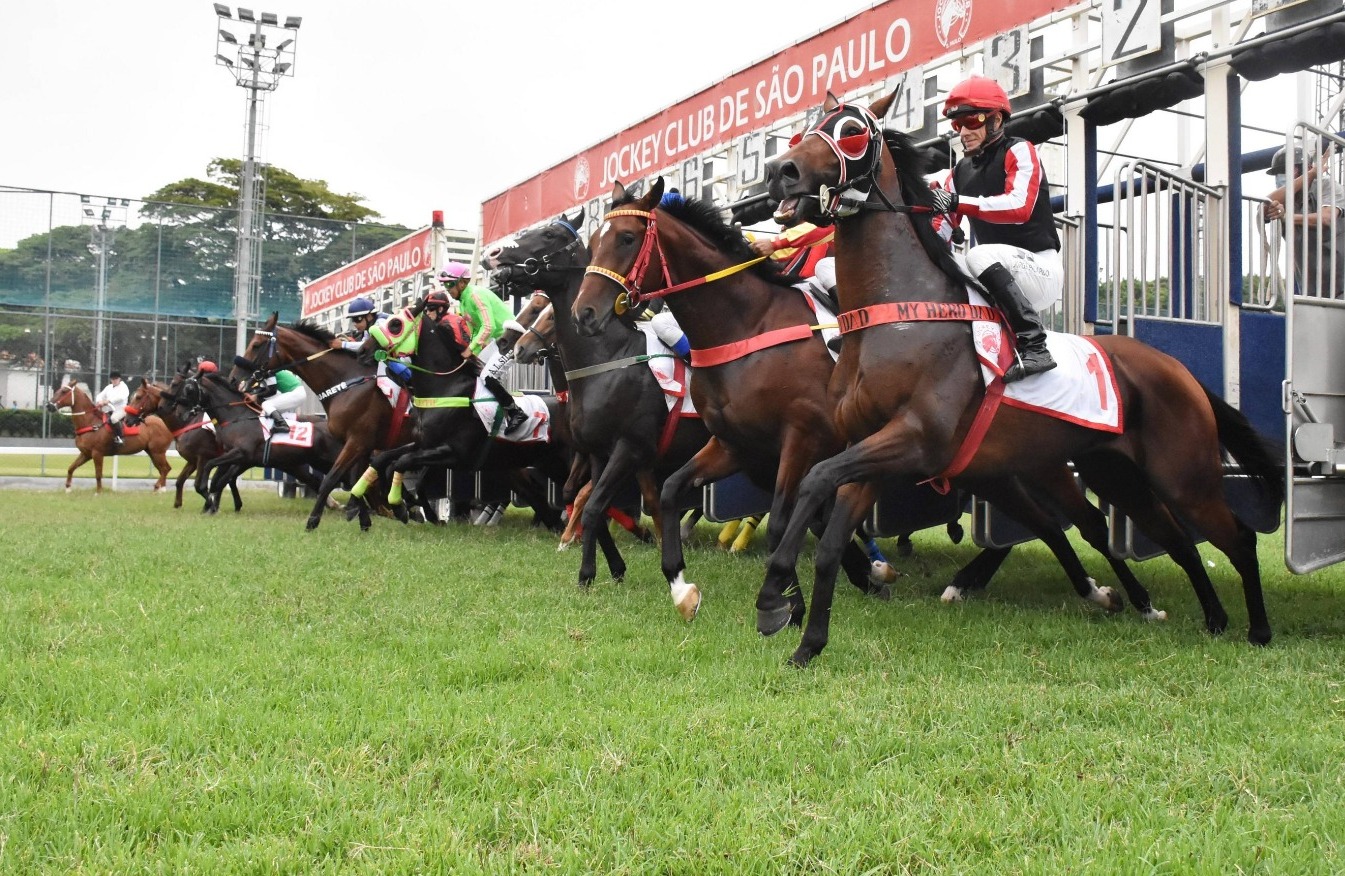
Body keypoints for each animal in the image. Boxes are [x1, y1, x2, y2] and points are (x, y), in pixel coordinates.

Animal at [45, 379, 173, 492]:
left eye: (63, 391)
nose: (49, 405)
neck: (91, 423)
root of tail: (165, 423)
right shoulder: (86, 454)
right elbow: (71, 468)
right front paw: (68, 488)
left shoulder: (97, 454)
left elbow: (98, 474)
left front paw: (98, 492)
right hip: (152, 452)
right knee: (164, 469)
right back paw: (160, 489)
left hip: (158, 452)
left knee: (165, 469)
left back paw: (158, 488)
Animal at [763, 90, 1285, 664]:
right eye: (806, 130)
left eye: (852, 131)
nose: (781, 171)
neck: (898, 316)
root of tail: (1178, 368)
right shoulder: (874, 447)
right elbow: (828, 532)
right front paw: (804, 636)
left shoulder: (915, 441)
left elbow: (815, 478)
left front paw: (776, 593)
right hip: (1116, 474)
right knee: (1177, 540)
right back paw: (1208, 617)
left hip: (1183, 474)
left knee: (1236, 537)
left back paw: (1258, 629)